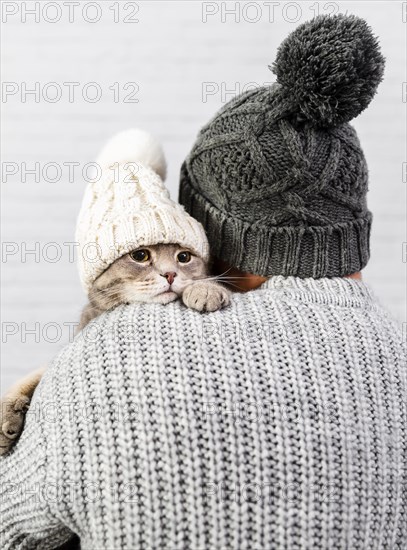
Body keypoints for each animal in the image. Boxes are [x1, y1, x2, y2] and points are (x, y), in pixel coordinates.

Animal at [0, 246, 230, 458]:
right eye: (140, 256)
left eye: (183, 257)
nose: (170, 274)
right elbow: (28, 379)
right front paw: (7, 415)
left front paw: (205, 289)